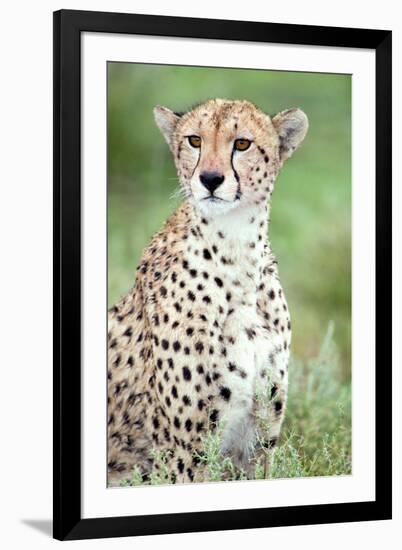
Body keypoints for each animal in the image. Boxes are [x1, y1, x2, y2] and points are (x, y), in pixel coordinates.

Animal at [107, 99, 308, 488]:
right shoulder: (186, 453)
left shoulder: (258, 438)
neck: (235, 252)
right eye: (194, 140)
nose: (211, 179)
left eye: (242, 144)